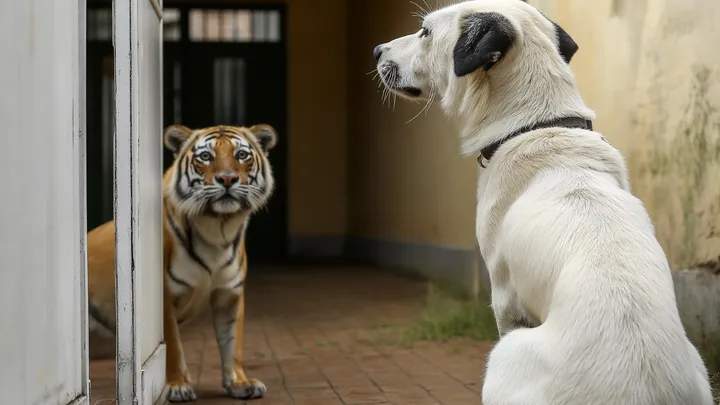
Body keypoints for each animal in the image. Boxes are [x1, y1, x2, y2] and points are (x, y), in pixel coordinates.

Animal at [86, 123, 278, 402]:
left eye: (242, 155)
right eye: (206, 156)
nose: (227, 179)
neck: (218, 228)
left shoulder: (229, 295)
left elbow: (232, 343)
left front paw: (240, 383)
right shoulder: (166, 298)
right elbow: (174, 348)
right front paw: (177, 386)